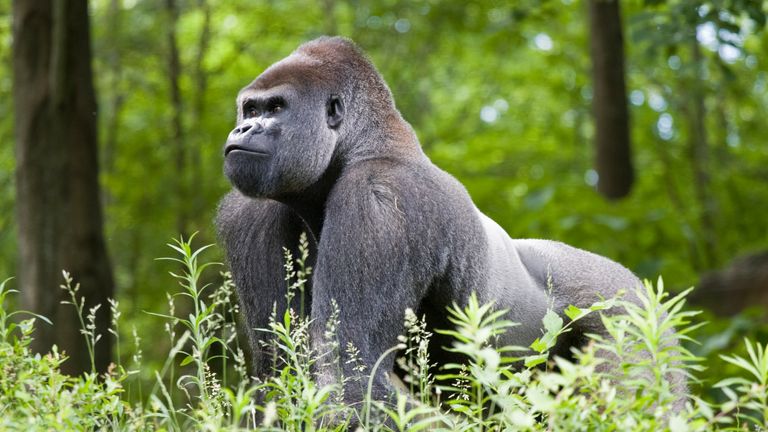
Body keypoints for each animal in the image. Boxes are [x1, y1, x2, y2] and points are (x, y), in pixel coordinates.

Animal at [214, 37, 684, 408]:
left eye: (276, 107)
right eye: (249, 108)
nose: (244, 129)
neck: (361, 146)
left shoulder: (380, 199)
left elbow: (351, 377)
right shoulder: (250, 214)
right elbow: (282, 372)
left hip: (629, 312)